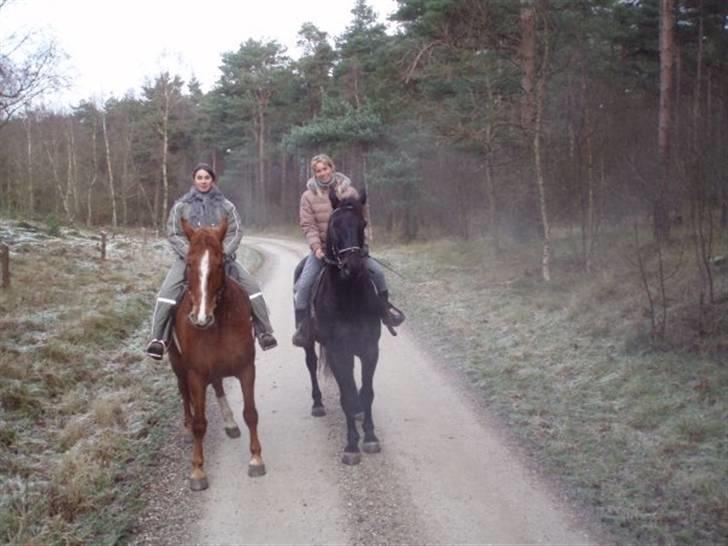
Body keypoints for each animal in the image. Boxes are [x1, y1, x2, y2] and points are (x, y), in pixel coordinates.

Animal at [168, 216, 264, 488]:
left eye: (220, 263)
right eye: (189, 263)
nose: (200, 318)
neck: (218, 322)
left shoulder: (246, 369)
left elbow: (251, 413)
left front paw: (256, 459)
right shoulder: (196, 374)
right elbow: (201, 423)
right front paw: (197, 471)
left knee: (219, 385)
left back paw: (230, 423)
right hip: (178, 367)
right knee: (184, 395)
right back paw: (187, 427)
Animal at [298, 188, 386, 464]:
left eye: (363, 224)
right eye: (334, 225)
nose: (353, 266)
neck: (348, 297)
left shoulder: (369, 349)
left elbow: (367, 392)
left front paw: (370, 436)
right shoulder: (338, 350)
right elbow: (346, 394)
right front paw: (351, 445)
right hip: (310, 343)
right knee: (312, 365)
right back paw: (317, 404)